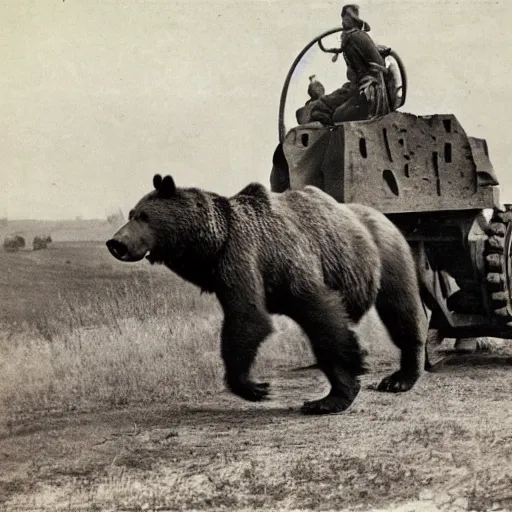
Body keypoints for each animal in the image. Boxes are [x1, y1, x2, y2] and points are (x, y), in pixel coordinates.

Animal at [106, 176, 426, 416]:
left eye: (144, 216)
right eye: (131, 214)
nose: (116, 243)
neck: (214, 243)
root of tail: (380, 213)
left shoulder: (255, 254)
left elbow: (262, 317)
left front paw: (320, 396)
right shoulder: (229, 271)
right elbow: (248, 316)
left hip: (388, 253)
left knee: (401, 310)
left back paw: (399, 378)